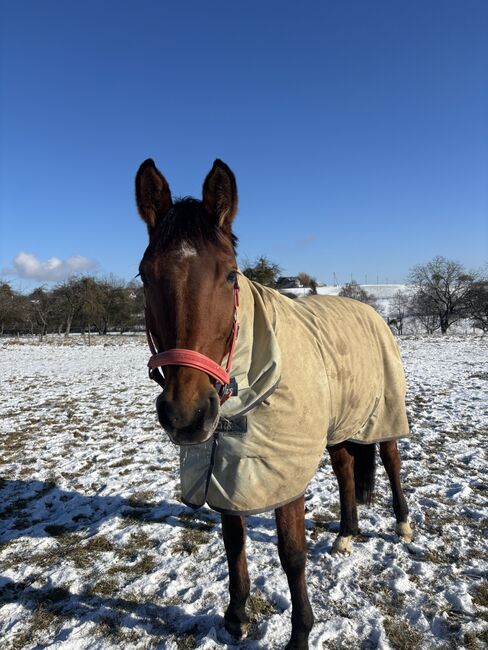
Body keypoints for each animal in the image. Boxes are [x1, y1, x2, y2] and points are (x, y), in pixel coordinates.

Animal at [135, 158, 412, 650]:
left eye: (230, 274)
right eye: (145, 275)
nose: (187, 414)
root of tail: (372, 311)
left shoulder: (284, 471)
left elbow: (292, 553)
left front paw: (300, 632)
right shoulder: (225, 468)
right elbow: (234, 543)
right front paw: (236, 617)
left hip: (384, 415)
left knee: (392, 460)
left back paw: (402, 525)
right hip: (338, 425)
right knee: (345, 469)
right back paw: (346, 534)